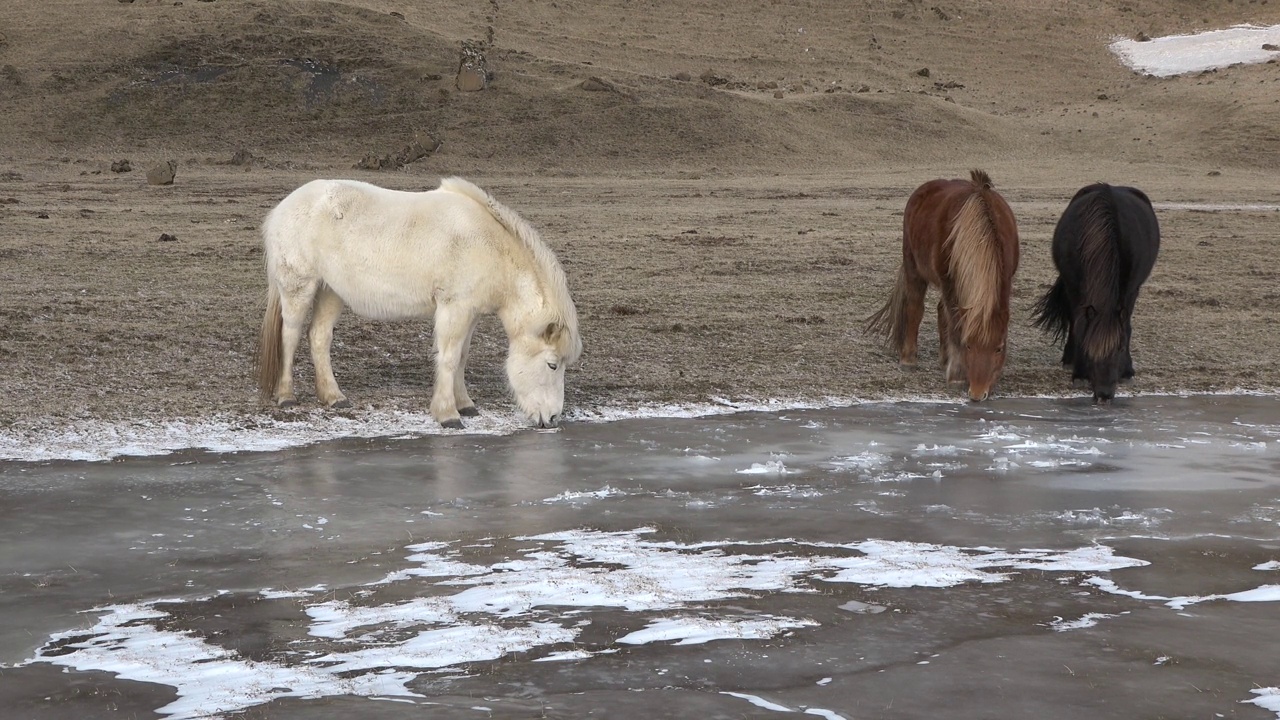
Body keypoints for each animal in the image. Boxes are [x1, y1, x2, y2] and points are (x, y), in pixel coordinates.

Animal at [253, 175, 581, 425]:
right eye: (553, 365)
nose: (552, 418)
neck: (487, 245)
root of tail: (282, 208)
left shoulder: (470, 313)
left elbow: (461, 356)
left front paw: (465, 405)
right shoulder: (454, 308)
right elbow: (449, 358)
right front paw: (448, 414)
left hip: (331, 291)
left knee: (319, 338)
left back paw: (334, 397)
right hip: (299, 288)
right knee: (290, 335)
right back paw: (286, 396)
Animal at [870, 170, 1018, 399]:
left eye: (999, 348)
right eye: (968, 346)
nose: (977, 393)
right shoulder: (950, 284)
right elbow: (955, 326)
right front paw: (956, 375)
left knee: (941, 311)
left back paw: (943, 358)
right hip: (914, 267)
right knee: (915, 307)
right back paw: (908, 359)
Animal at [1029, 181, 1162, 399]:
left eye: (1119, 348)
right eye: (1090, 349)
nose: (1104, 394)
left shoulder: (1131, 290)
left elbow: (1126, 327)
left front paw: (1127, 371)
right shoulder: (1074, 288)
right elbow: (1078, 325)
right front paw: (1079, 373)